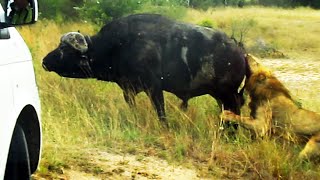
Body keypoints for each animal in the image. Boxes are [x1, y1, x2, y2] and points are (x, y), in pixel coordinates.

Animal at [42, 13, 248, 121]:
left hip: (228, 95)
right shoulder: (128, 89)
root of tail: (238, 50)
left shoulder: (154, 88)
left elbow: (161, 113)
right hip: (220, 97)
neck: (118, 45)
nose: (44, 61)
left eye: (63, 48)